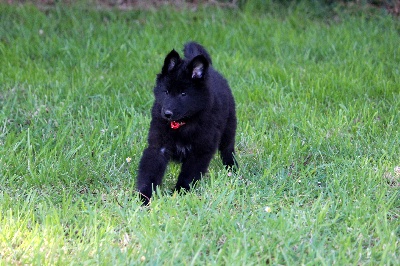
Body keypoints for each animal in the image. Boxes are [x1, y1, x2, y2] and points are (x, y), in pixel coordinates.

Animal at [137, 41, 238, 205]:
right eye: (166, 92)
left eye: (183, 94)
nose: (167, 113)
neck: (182, 125)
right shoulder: (158, 146)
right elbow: (149, 172)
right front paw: (143, 197)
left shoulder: (200, 150)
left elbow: (188, 175)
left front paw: (180, 193)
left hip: (229, 128)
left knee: (228, 149)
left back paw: (232, 169)